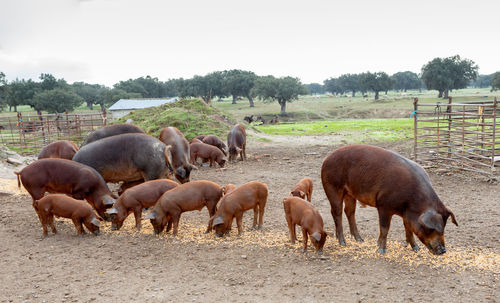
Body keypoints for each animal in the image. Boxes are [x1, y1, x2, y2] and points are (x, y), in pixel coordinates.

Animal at [320, 146, 458, 255]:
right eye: (431, 229)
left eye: (444, 227)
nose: (443, 251)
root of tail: (326, 158)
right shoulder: (383, 206)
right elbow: (385, 228)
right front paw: (381, 250)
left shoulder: (406, 214)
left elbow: (408, 228)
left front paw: (416, 249)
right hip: (332, 187)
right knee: (336, 212)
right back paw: (343, 243)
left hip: (350, 193)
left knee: (349, 211)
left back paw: (360, 239)